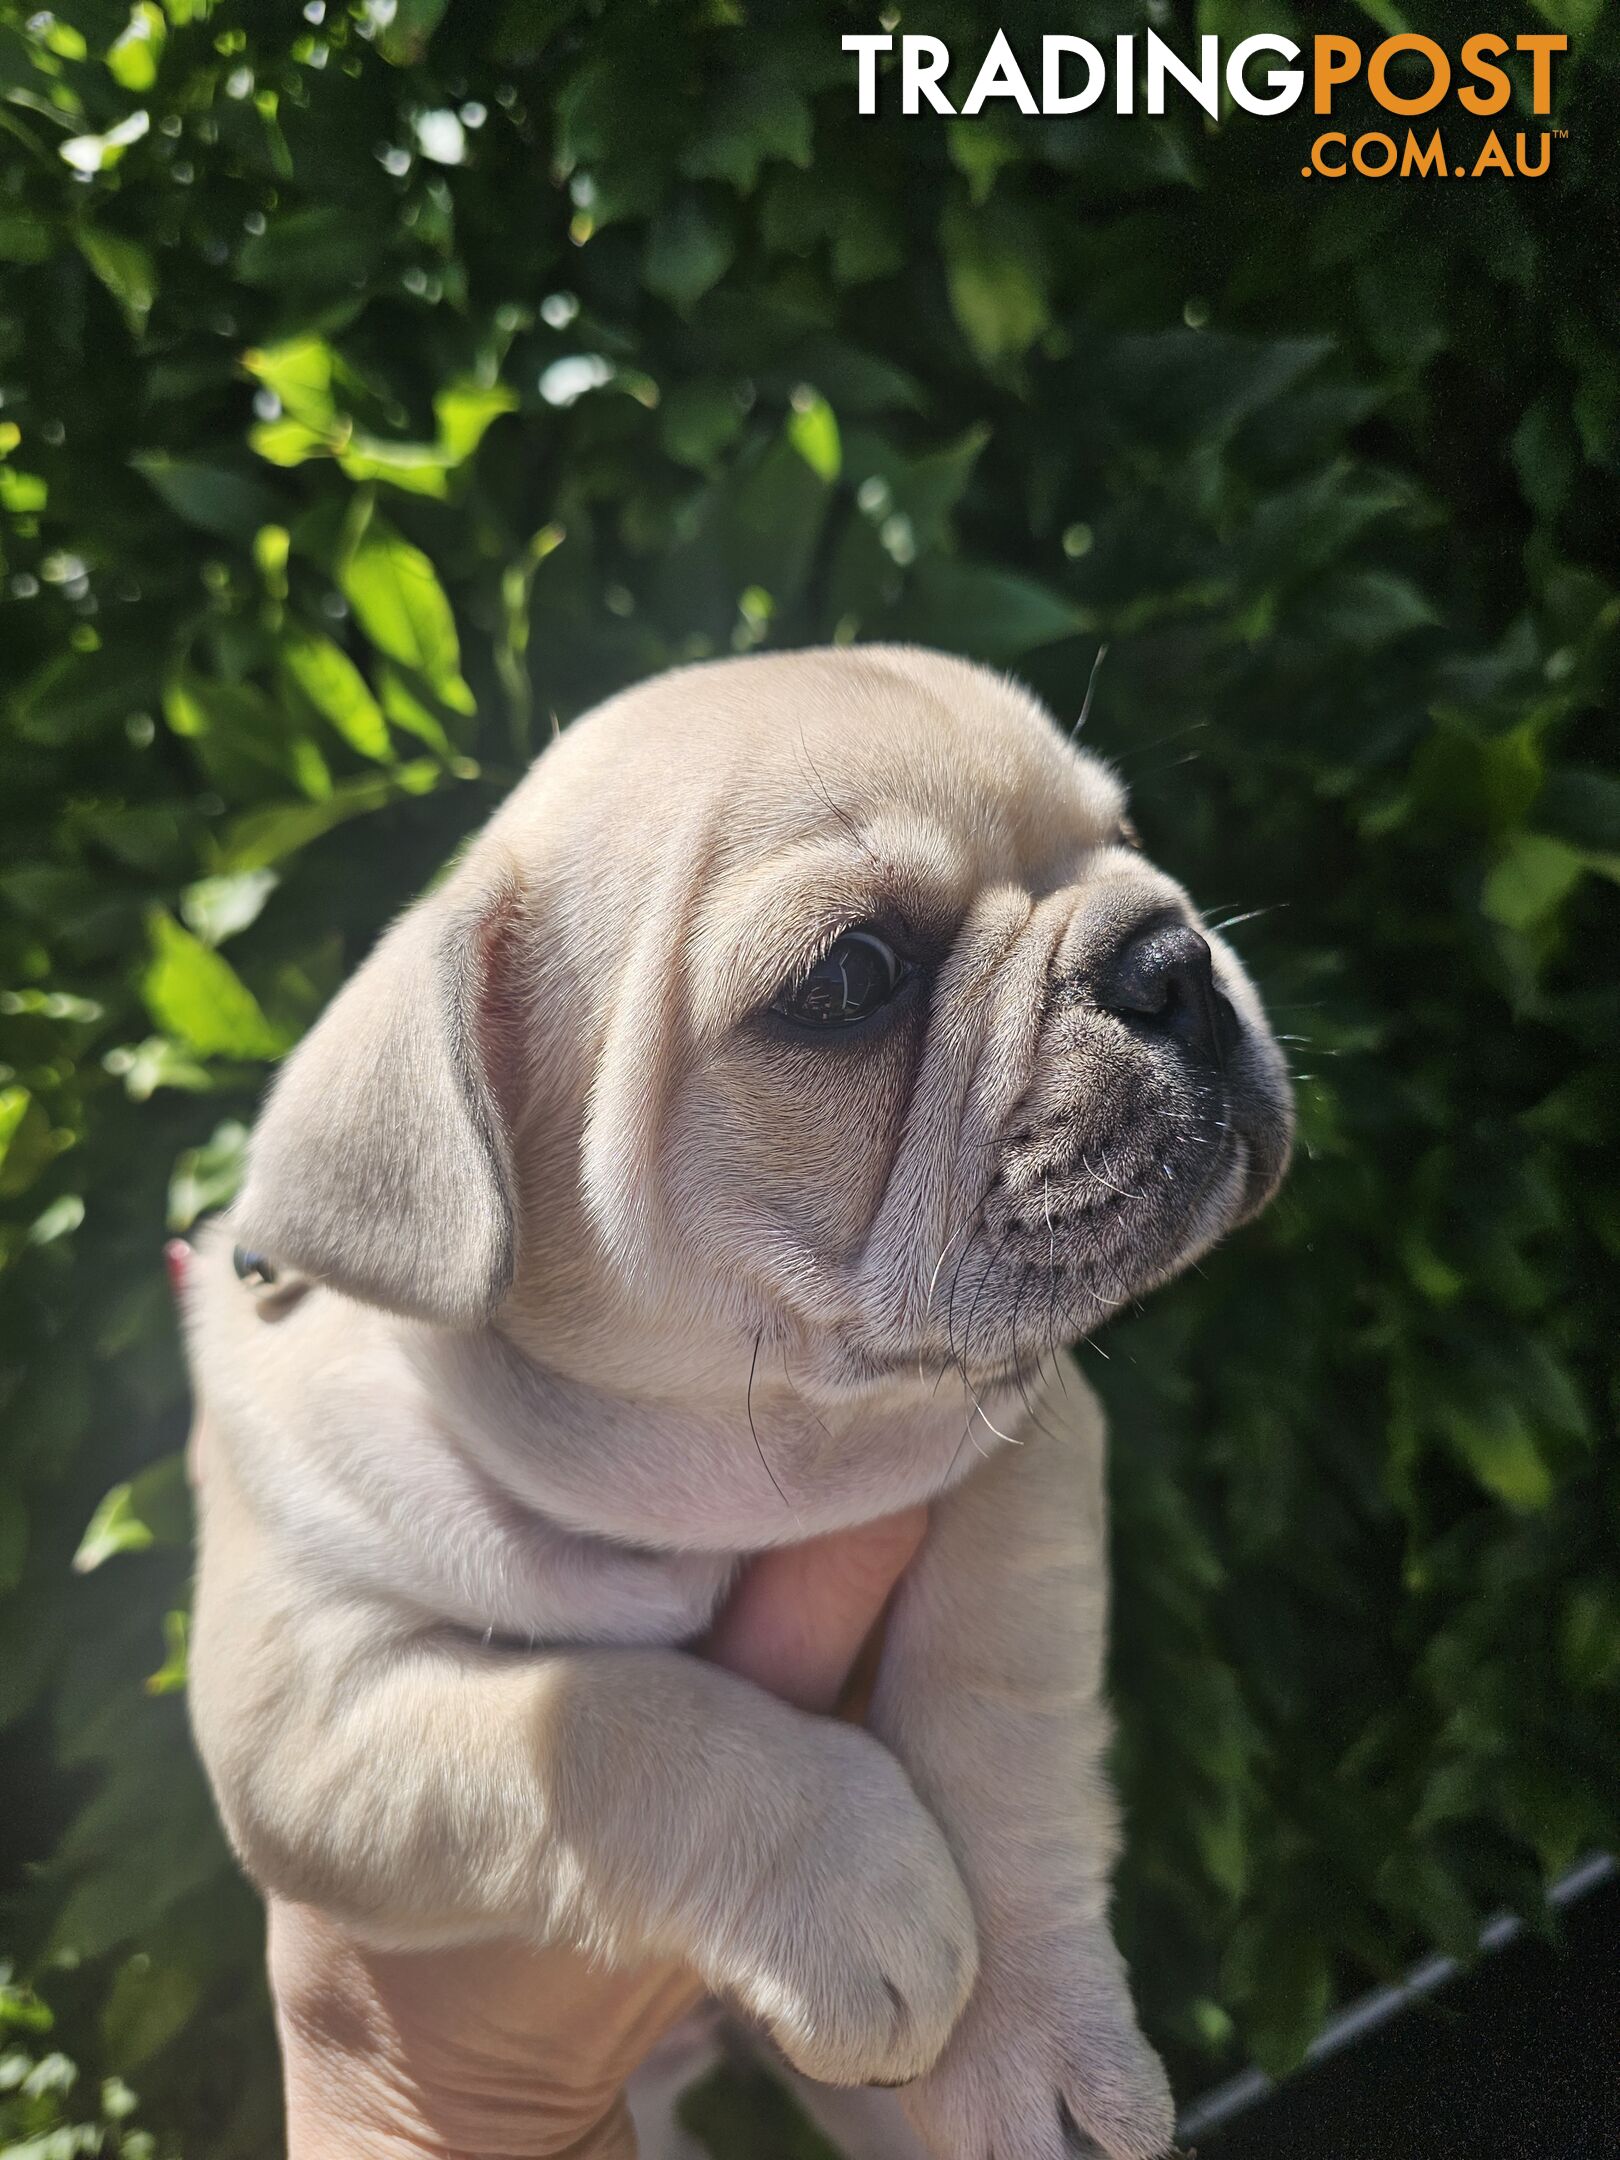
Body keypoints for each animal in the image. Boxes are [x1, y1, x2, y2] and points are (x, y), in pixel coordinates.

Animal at [186, 643, 1296, 2160]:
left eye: (1123, 838)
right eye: (852, 976)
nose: (1172, 957)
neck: (721, 1476)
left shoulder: (1022, 1460)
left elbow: (992, 1714)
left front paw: (1028, 2034)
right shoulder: (307, 1721)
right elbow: (603, 1726)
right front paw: (856, 1886)